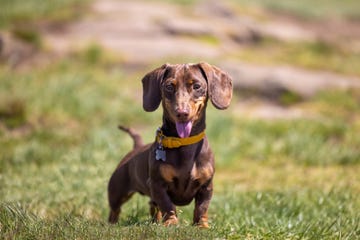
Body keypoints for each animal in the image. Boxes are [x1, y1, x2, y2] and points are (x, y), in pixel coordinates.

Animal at [107, 62, 232, 227]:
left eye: (197, 86)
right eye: (169, 86)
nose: (182, 113)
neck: (184, 143)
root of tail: (137, 147)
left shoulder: (206, 186)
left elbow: (202, 207)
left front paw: (202, 225)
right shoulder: (157, 184)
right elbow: (167, 205)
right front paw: (171, 223)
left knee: (153, 207)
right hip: (117, 191)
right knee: (115, 210)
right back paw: (112, 224)